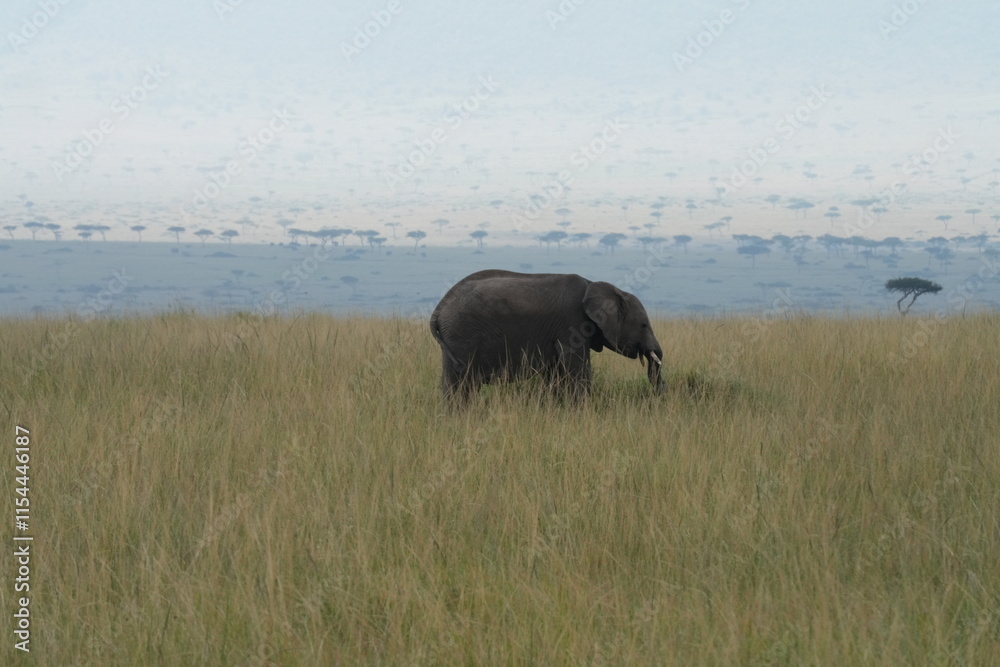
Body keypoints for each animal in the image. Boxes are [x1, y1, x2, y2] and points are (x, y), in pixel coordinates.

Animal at [429, 270, 666, 401]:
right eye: (644, 325)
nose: (659, 393)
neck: (595, 285)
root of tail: (439, 308)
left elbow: (556, 371)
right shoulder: (572, 324)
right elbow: (576, 368)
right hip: (461, 336)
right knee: (460, 384)